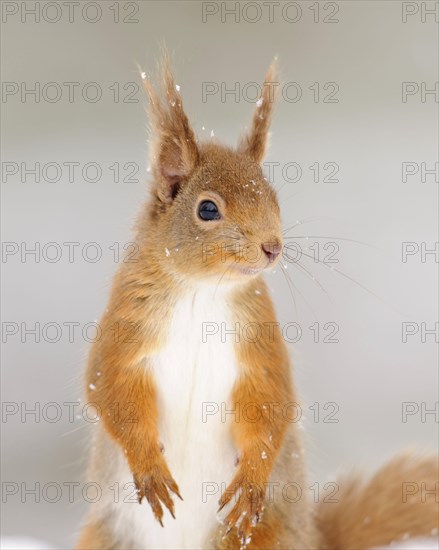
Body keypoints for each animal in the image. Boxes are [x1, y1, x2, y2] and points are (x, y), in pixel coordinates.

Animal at [77, 55, 438, 550]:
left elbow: (270, 399)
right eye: (207, 209)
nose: (273, 247)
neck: (202, 291)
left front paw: (251, 479)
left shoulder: (257, 339)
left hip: (260, 535)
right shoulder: (127, 322)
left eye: (273, 196)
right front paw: (150, 467)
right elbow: (110, 387)